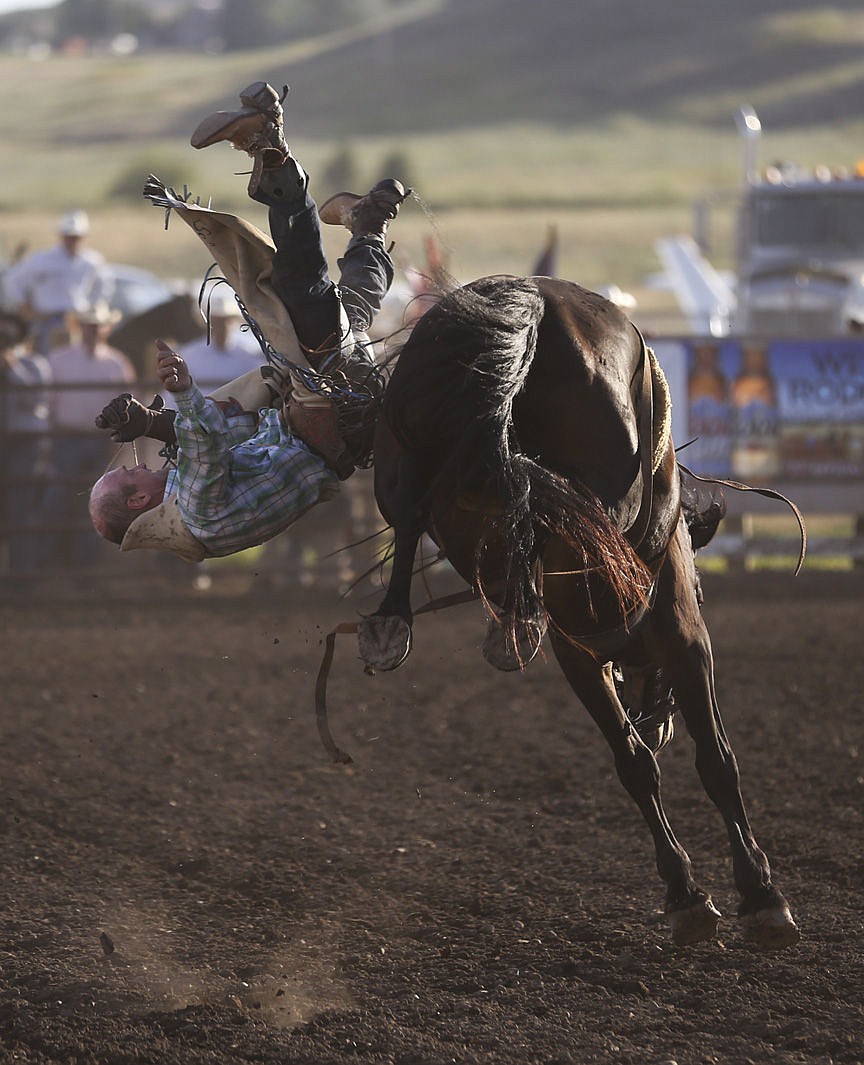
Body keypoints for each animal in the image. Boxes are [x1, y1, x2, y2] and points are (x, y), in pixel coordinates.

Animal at [355, 272, 796, 949]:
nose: (657, 719)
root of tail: (533, 302)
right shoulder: (685, 641)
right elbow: (712, 761)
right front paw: (753, 894)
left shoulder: (583, 659)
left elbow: (638, 765)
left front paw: (692, 894)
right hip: (603, 491)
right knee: (557, 509)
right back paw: (515, 611)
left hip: (406, 446)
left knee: (419, 509)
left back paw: (408, 623)